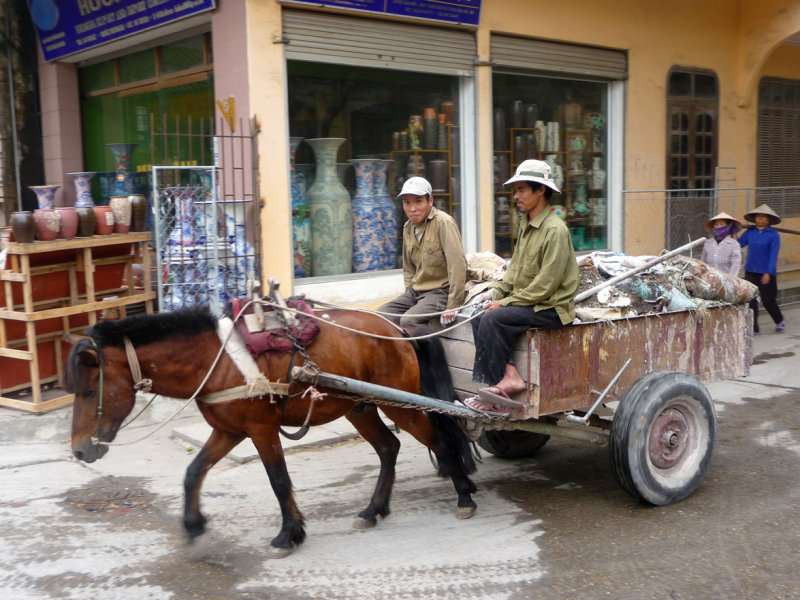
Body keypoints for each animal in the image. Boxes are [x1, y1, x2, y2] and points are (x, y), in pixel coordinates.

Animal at [65, 304, 478, 556]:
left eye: (86, 391)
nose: (80, 451)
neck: (216, 361)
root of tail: (398, 329)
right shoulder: (227, 430)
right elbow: (193, 472)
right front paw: (194, 524)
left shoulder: (261, 429)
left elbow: (279, 480)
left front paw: (289, 534)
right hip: (360, 408)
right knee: (389, 447)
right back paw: (374, 509)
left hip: (400, 405)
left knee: (440, 441)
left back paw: (464, 497)